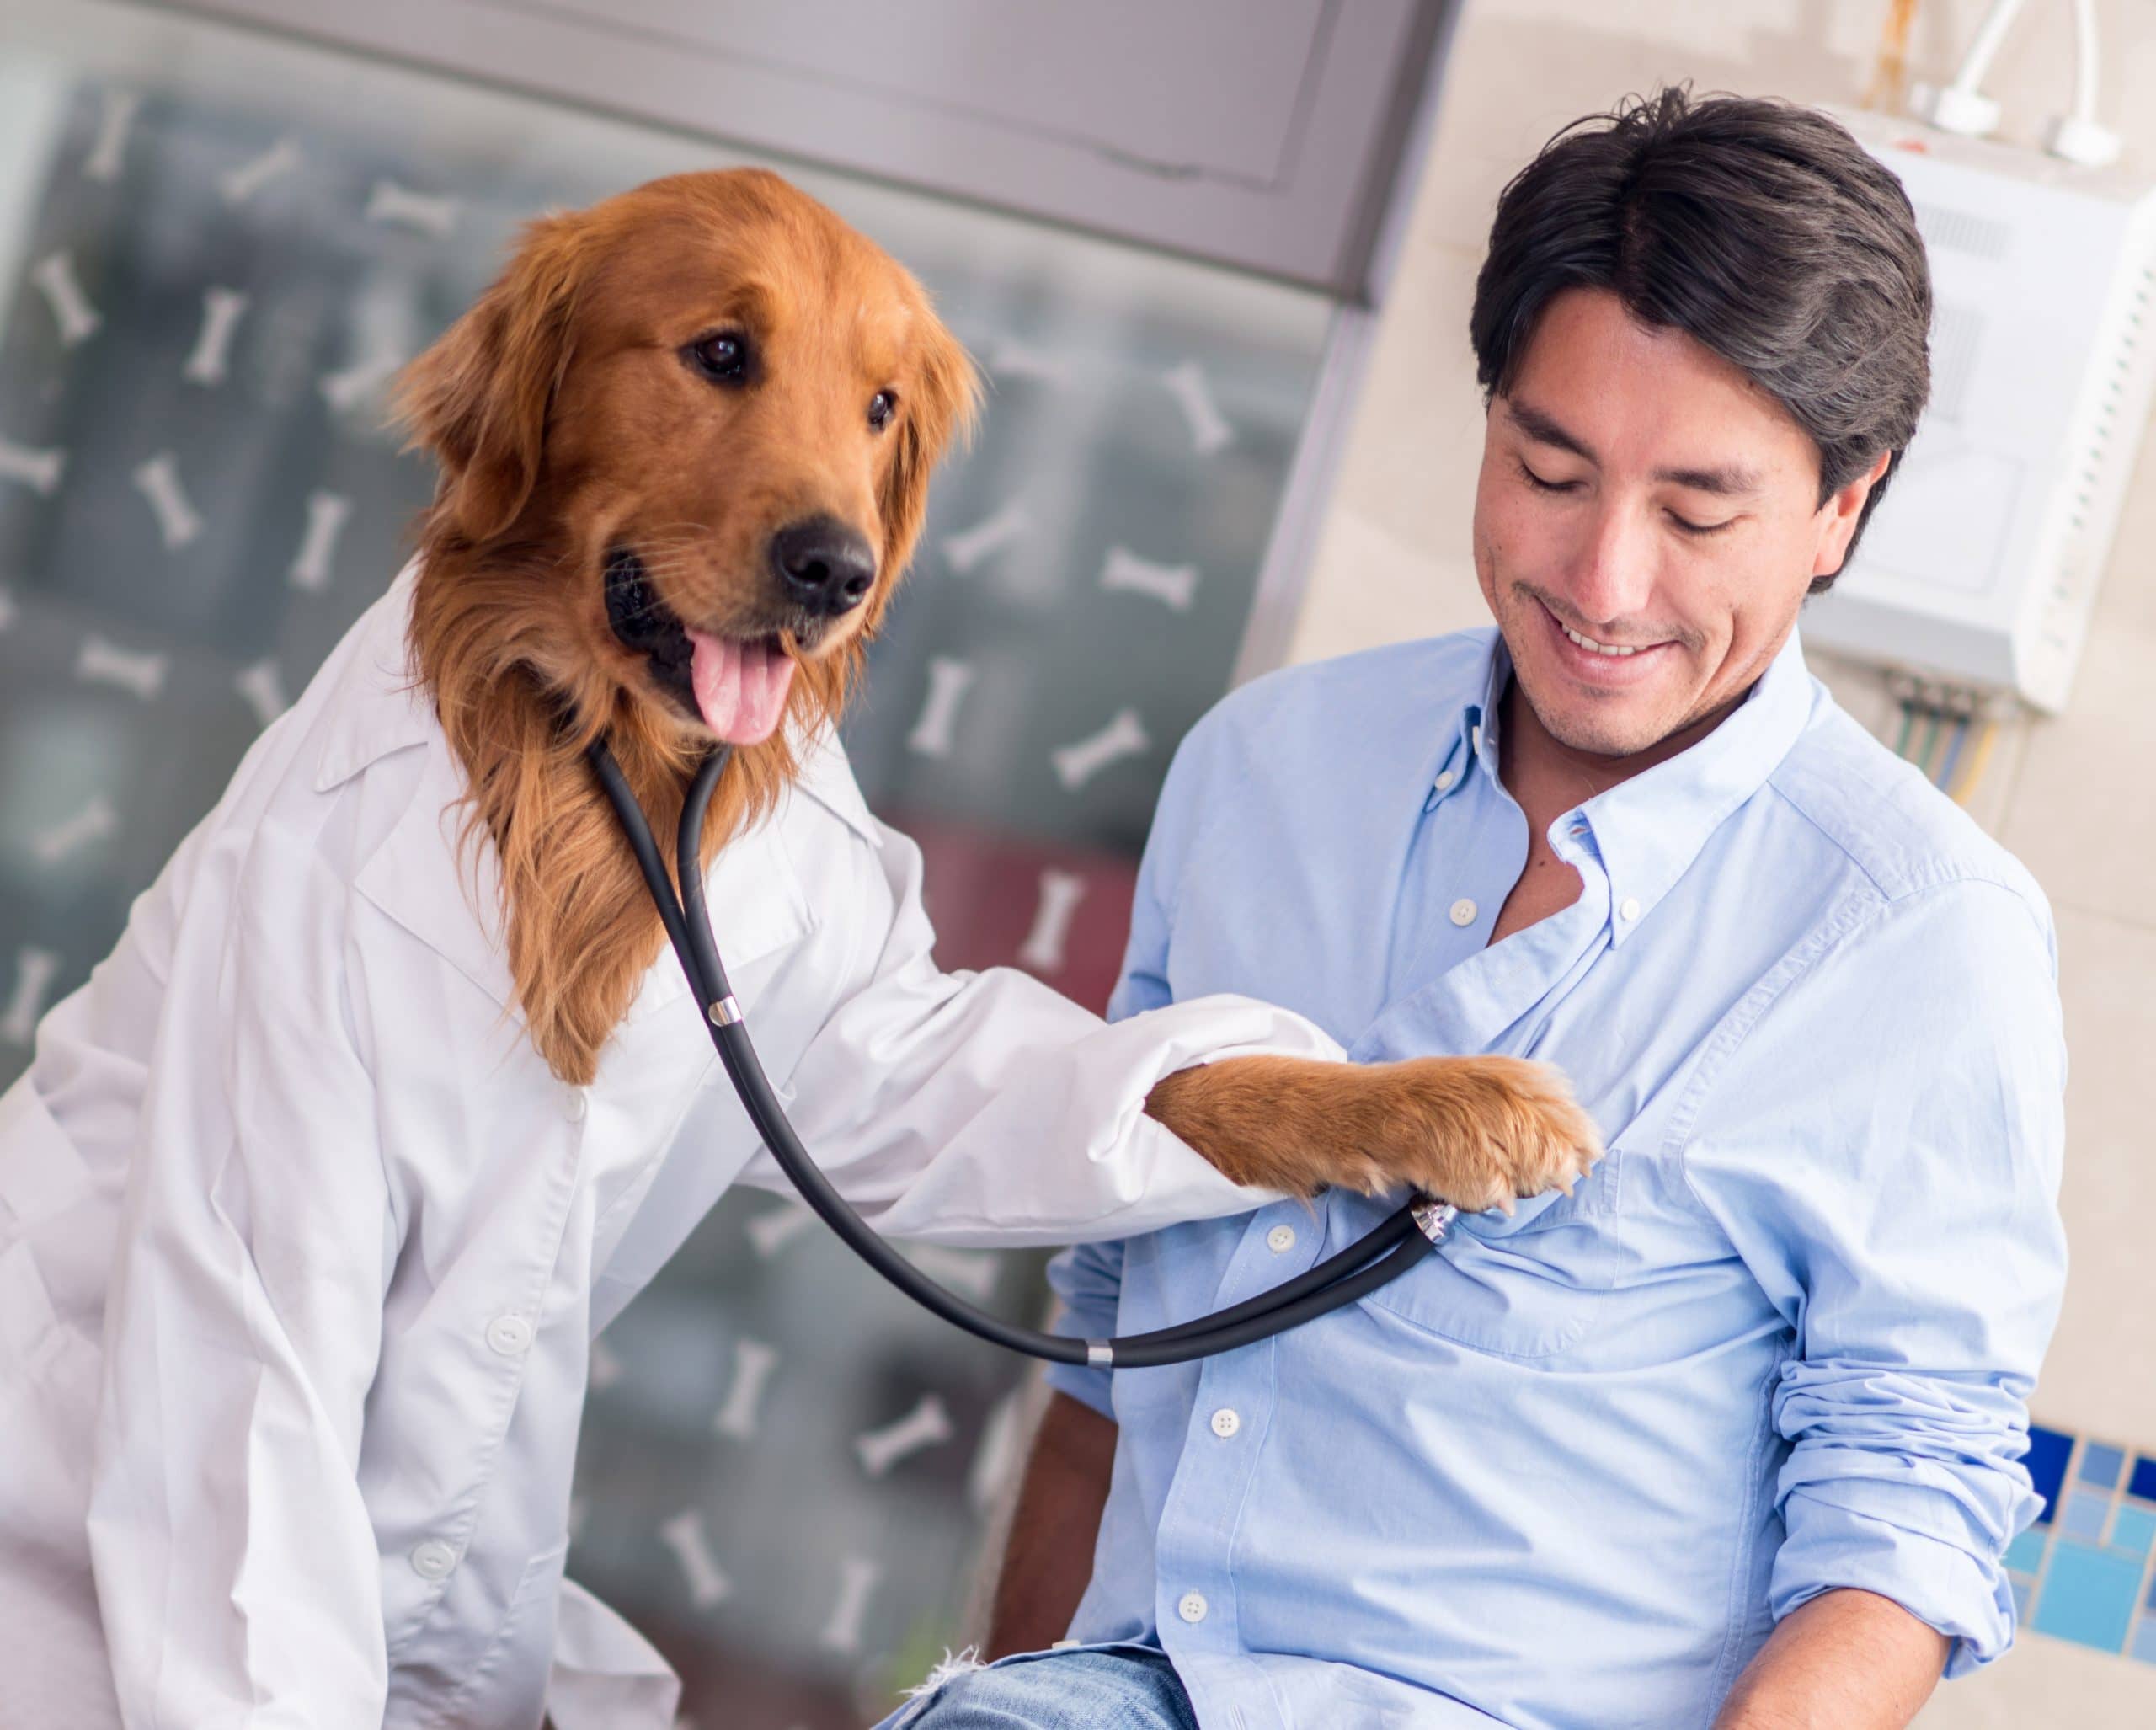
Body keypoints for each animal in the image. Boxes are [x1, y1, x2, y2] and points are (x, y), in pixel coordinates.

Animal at [392, 168, 1604, 1208]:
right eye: (721, 351)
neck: (614, 758)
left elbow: (1120, 1087)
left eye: (880, 407)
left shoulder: (898, 1030)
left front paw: (1458, 1102)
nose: (838, 570)